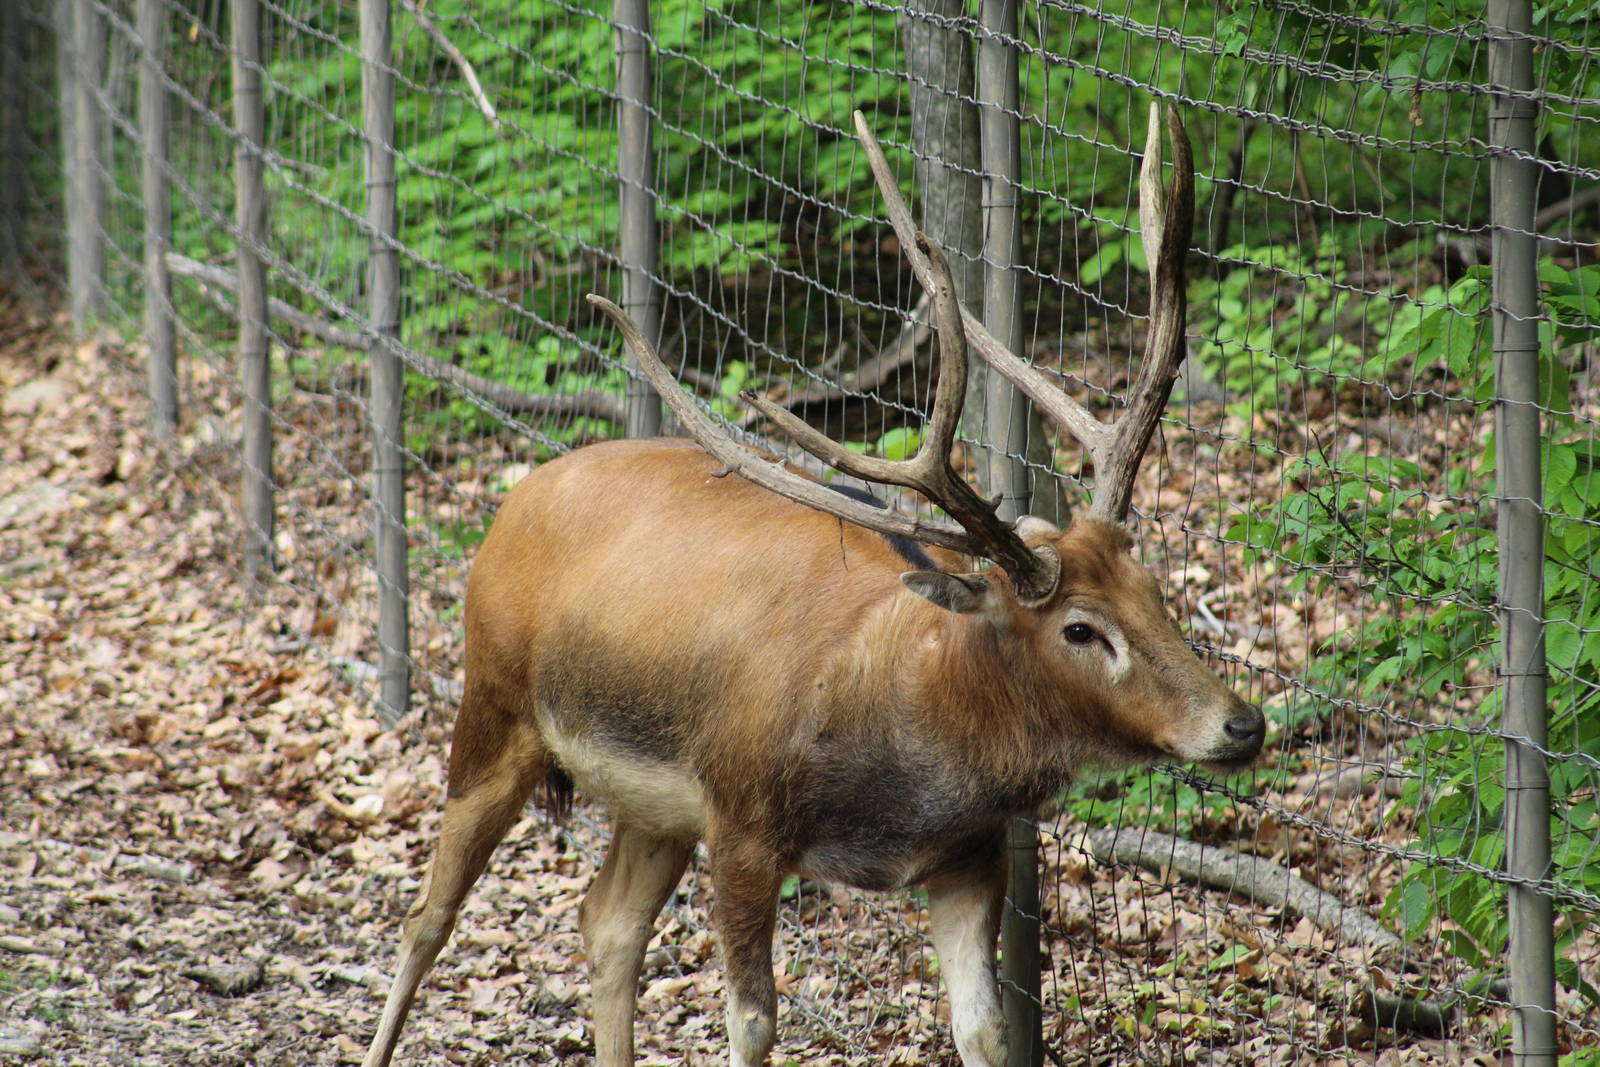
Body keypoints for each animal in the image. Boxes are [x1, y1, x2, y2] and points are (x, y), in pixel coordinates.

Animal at [361, 104, 1264, 1067]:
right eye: (1080, 628)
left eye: (1154, 589)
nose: (1240, 723)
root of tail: (513, 501)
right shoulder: (743, 820)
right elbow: (754, 1021)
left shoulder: (970, 852)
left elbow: (983, 1027)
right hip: (495, 704)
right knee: (428, 914)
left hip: (653, 803)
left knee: (605, 920)